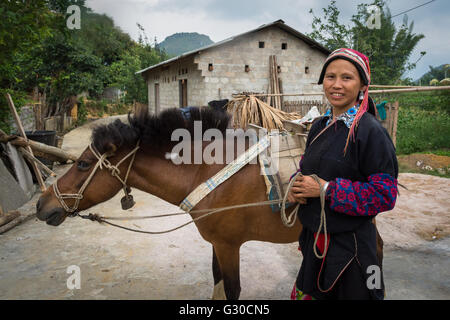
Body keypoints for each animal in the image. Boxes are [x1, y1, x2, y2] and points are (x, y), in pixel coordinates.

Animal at [35, 106, 384, 298]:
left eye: (82, 164)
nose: (42, 205)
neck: (205, 170)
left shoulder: (229, 245)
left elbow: (230, 290)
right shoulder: (217, 244)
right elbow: (216, 286)